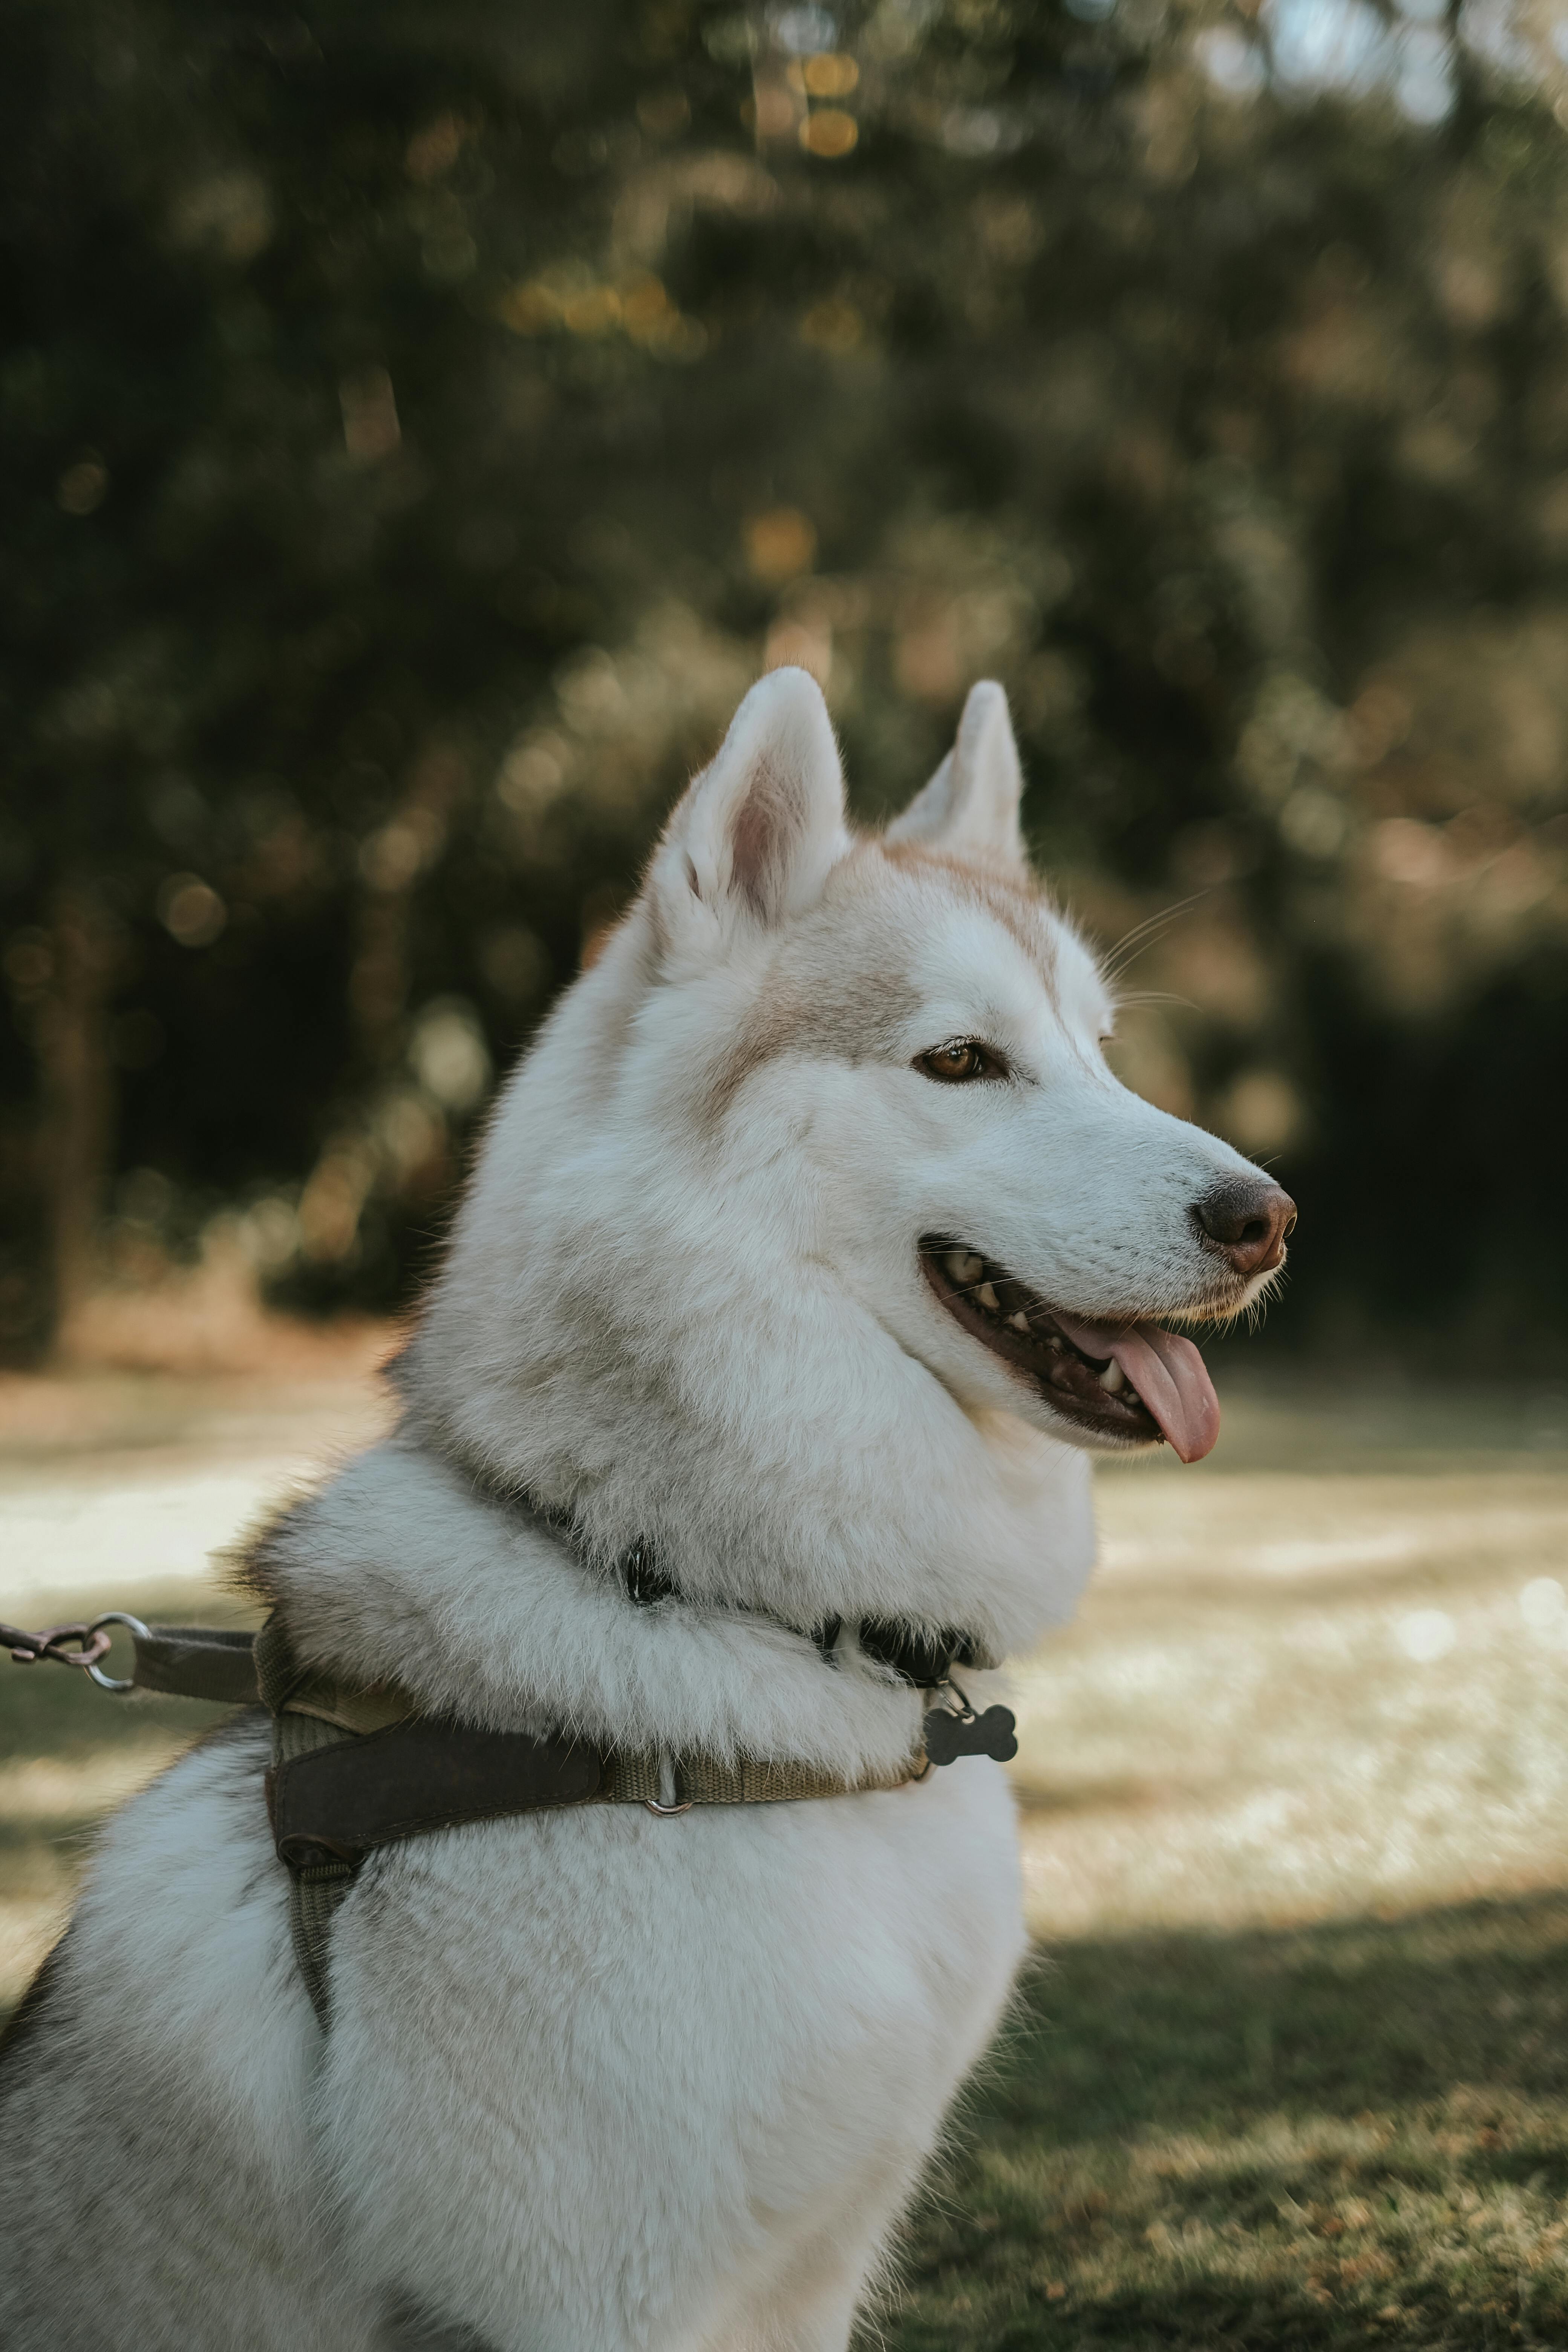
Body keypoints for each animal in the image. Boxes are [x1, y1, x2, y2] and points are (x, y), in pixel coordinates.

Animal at [0, 672, 1297, 2343]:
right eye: (959, 1062)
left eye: (1099, 1049)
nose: (1268, 1217)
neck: (708, 1601)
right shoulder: (591, 2300)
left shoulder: (806, 2280)